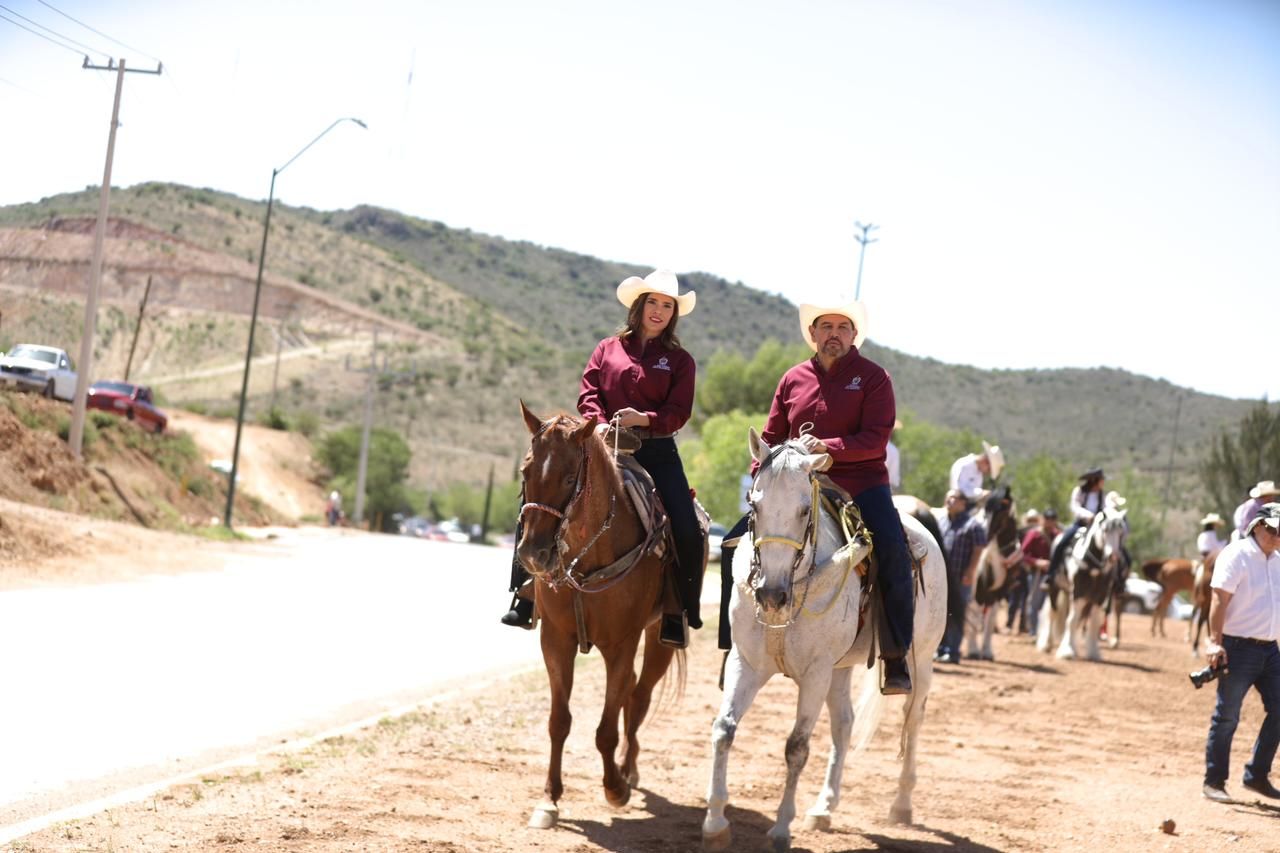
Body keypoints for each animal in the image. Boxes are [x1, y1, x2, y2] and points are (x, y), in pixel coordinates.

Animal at [514, 402, 686, 824]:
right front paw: (549, 798)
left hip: (660, 639)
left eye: (569, 476)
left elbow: (606, 729)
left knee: (638, 697)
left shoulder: (621, 644)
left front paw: (614, 788)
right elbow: (559, 721)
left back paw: (628, 770)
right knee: (630, 694)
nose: (533, 554)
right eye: (526, 471)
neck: (587, 556)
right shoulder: (555, 640)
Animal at [701, 432, 952, 850]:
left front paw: (781, 827)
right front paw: (716, 822)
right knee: (844, 724)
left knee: (913, 719)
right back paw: (824, 807)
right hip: (841, 668)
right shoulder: (747, 663)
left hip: (922, 660)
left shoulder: (814, 674)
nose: (771, 594)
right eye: (754, 504)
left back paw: (901, 804)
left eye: (805, 510)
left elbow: (797, 746)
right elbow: (724, 730)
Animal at [1039, 504, 1131, 655]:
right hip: (1055, 588)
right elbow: (1071, 619)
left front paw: (1093, 652)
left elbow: (1094, 621)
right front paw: (1066, 651)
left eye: (1121, 532)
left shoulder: (1100, 593)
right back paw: (1047, 644)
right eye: (1105, 530)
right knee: (1054, 613)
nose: (1113, 556)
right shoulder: (1078, 590)